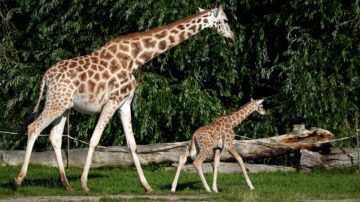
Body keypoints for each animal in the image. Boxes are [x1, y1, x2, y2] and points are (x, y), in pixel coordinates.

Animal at [14, 3, 235, 192]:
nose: (232, 37)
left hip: (64, 107)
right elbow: (94, 140)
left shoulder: (125, 102)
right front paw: (85, 184)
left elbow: (132, 144)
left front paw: (147, 186)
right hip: (56, 103)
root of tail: (46, 78)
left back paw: (66, 184)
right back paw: (19, 179)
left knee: (54, 136)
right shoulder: (112, 101)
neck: (135, 58)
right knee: (34, 127)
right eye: (225, 20)